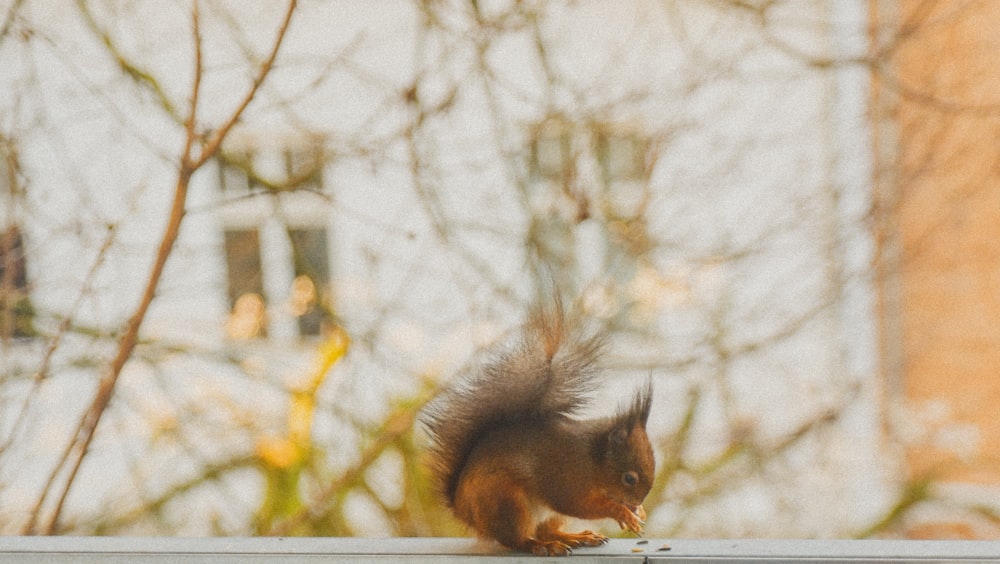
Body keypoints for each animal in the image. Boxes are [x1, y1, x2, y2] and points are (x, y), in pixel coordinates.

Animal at [422, 300, 656, 556]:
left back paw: (575, 537)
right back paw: (543, 545)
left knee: (545, 529)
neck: (592, 459)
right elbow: (578, 504)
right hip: (508, 504)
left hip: (546, 515)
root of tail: (464, 511)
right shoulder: (565, 476)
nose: (638, 502)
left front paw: (638, 512)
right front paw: (623, 513)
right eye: (629, 478)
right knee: (517, 539)